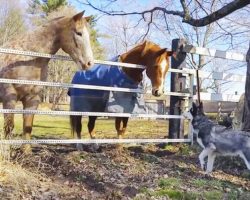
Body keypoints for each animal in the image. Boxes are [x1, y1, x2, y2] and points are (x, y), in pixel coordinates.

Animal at [0, 10, 94, 152]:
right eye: (79, 33)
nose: (89, 63)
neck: (28, 59)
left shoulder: (32, 99)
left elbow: (27, 126)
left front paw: (26, 152)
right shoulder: (9, 97)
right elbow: (8, 126)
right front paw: (6, 153)